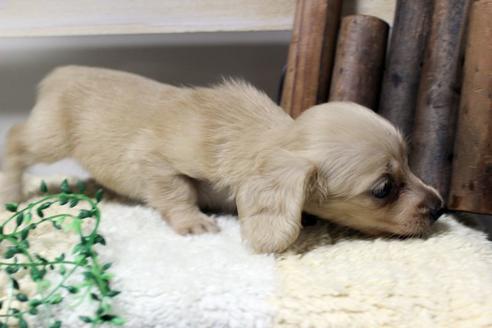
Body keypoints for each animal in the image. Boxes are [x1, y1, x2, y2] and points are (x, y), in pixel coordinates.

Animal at [0, 64, 442, 254]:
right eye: (383, 189)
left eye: (410, 161)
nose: (440, 208)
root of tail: (60, 71)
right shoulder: (157, 162)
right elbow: (177, 194)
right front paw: (193, 222)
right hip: (50, 137)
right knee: (16, 138)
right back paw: (11, 190)